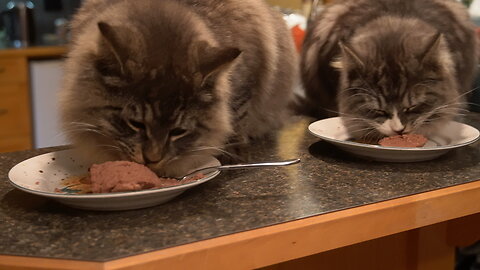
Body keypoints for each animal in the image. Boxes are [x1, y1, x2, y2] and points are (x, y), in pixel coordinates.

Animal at [59, 0, 296, 176]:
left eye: (178, 131)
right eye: (136, 124)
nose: (152, 159)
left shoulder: (246, 78)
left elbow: (237, 117)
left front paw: (233, 154)